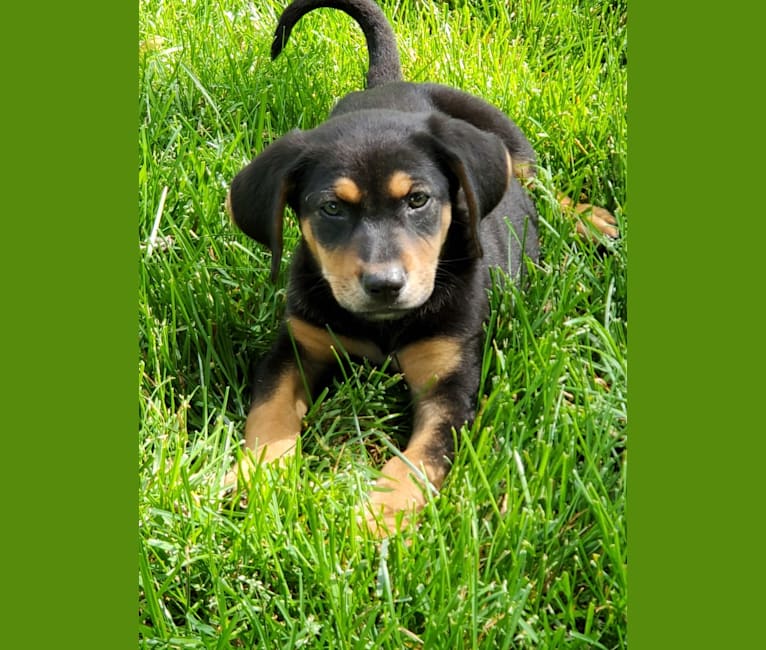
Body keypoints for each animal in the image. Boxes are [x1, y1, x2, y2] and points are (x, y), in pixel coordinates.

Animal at [225, 0, 616, 532]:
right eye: (331, 208)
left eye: (418, 200)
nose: (384, 285)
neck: (385, 326)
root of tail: (391, 84)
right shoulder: (295, 348)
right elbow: (269, 414)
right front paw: (256, 476)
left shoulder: (449, 387)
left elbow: (418, 458)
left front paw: (378, 516)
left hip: (506, 139)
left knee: (543, 184)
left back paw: (591, 220)